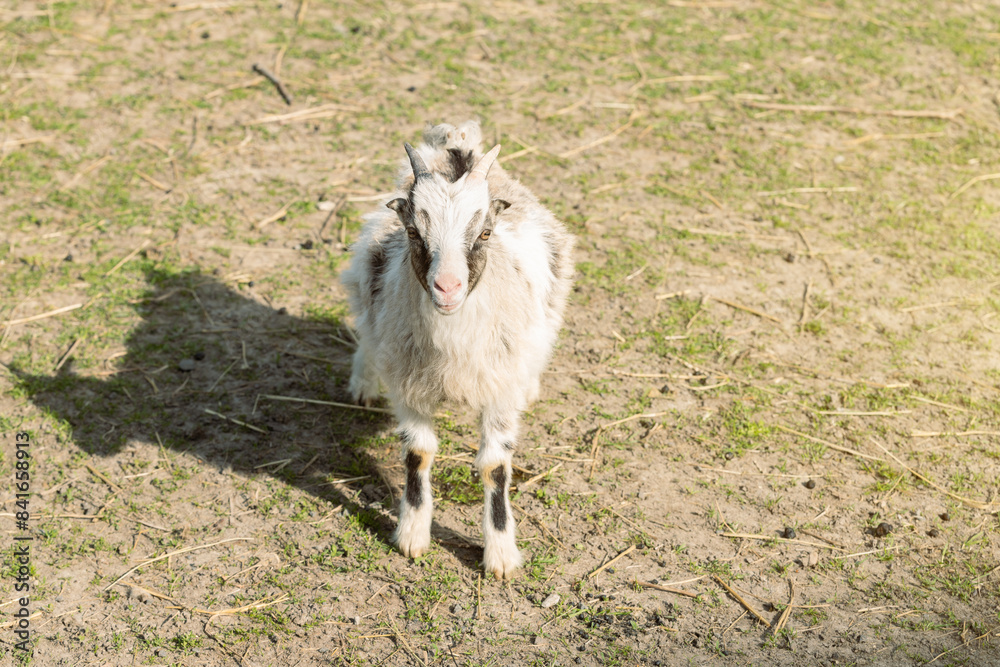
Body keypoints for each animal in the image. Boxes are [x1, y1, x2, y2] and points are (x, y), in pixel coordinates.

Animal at [340, 121, 574, 578]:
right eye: (414, 232)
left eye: (484, 232)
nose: (447, 287)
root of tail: (456, 143)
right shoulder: (410, 386)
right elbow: (418, 454)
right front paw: (412, 535)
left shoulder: (499, 390)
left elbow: (495, 467)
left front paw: (501, 555)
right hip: (366, 283)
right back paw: (362, 383)